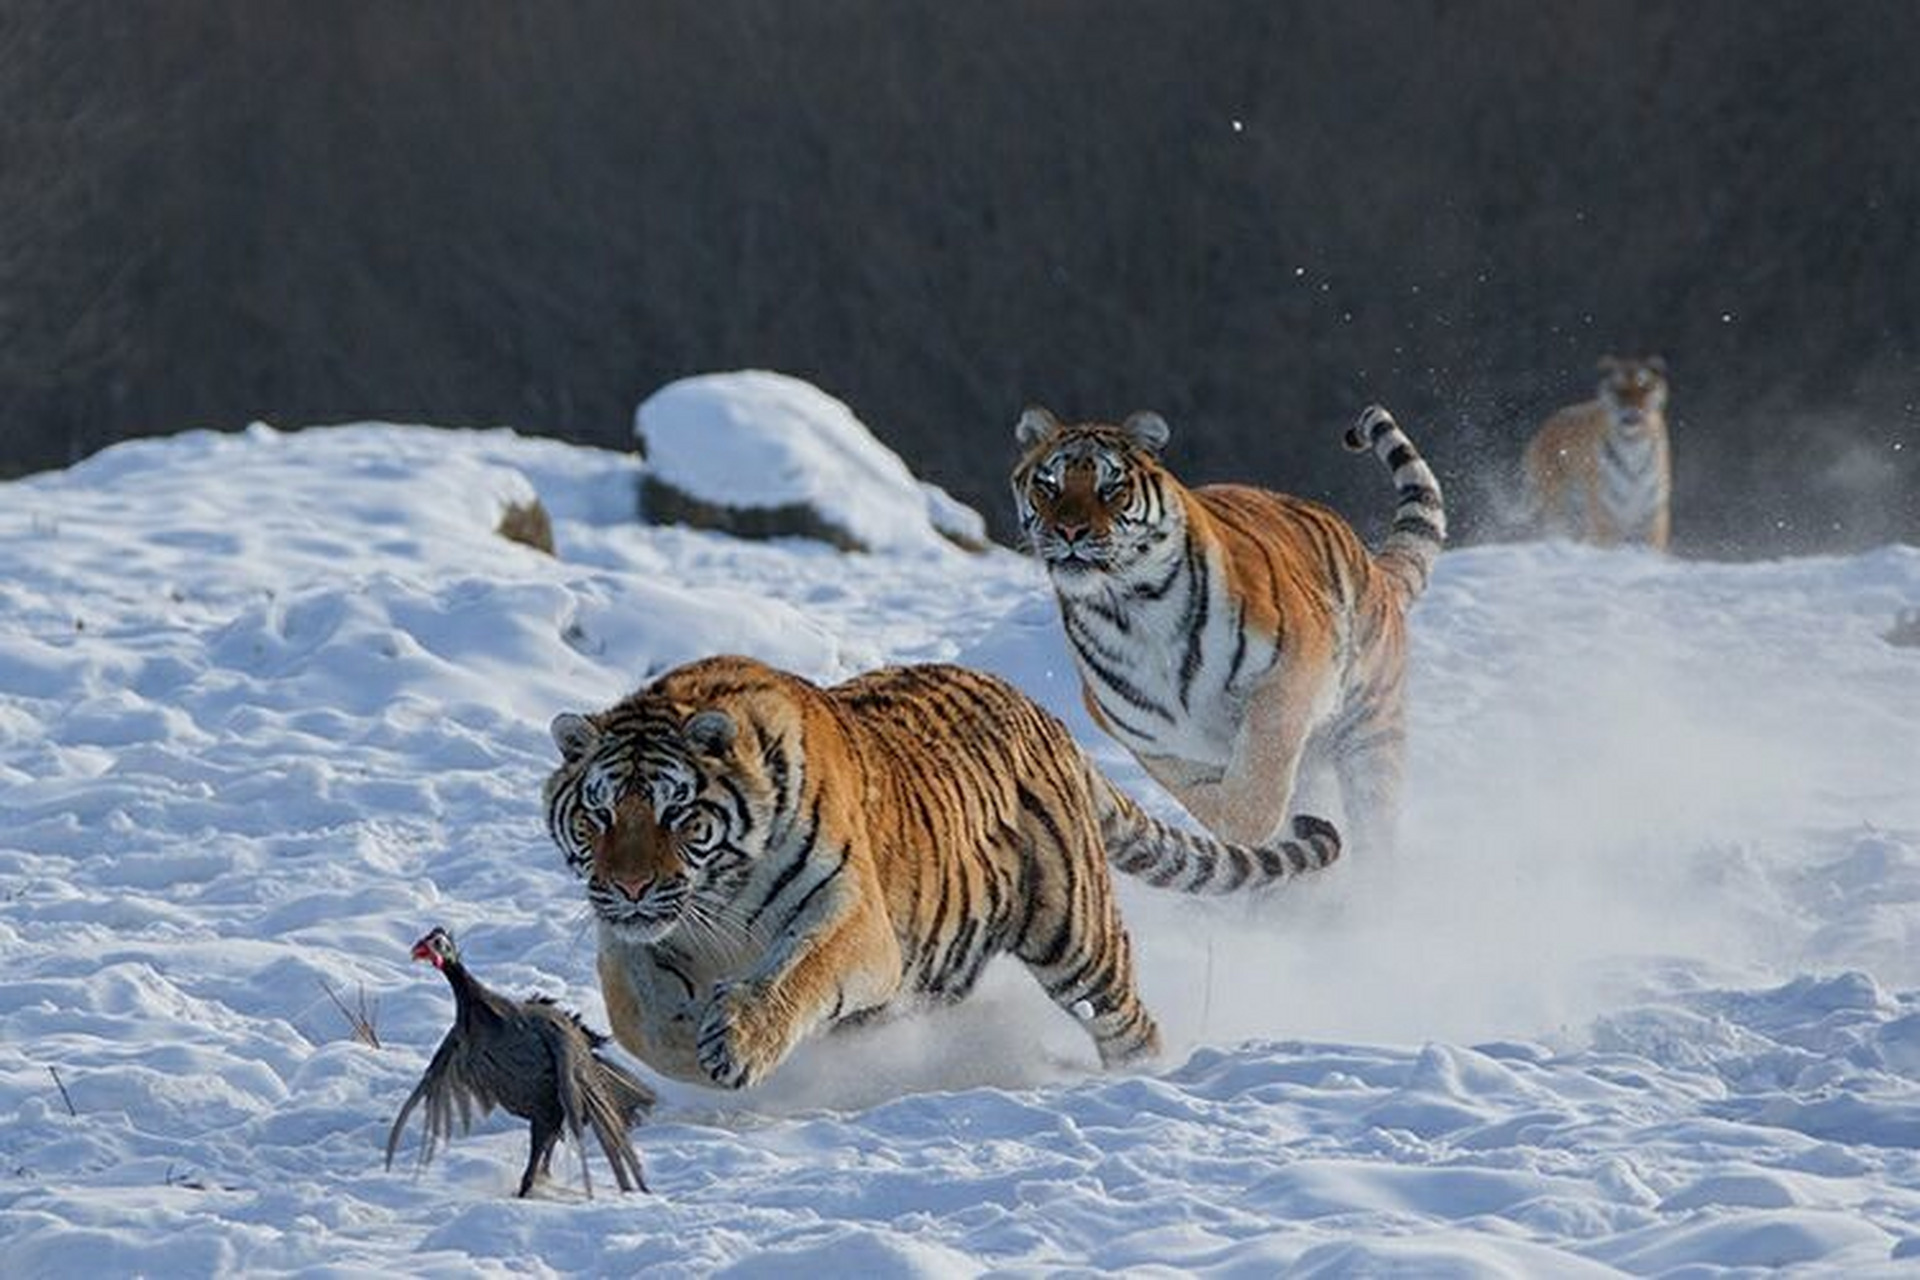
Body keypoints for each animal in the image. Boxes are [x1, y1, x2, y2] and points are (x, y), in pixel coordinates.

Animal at [541, 660, 1336, 1090]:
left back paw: (1137, 1080)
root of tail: (1048, 720)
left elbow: (795, 975)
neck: (718, 901)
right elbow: (636, 1014)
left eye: (677, 813)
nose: (631, 888)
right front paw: (689, 1052)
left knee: (1127, 1019)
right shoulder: (636, 942)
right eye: (599, 813)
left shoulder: (852, 919)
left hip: (1076, 937)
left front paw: (736, 1042)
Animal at [1013, 401, 1443, 859]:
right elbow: (1201, 793)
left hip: (1371, 732)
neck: (1130, 613)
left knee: (1374, 825)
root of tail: (1373, 567)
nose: (1069, 531)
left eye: (1111, 487)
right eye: (1049, 485)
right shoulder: (1156, 741)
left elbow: (1260, 767)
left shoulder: (1292, 670)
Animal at [1520, 355, 1674, 552]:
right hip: (1558, 505)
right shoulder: (1605, 514)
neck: (1633, 445)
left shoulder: (1652, 516)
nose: (1632, 410)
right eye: (1618, 388)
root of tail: (1543, 428)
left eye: (1643, 385)